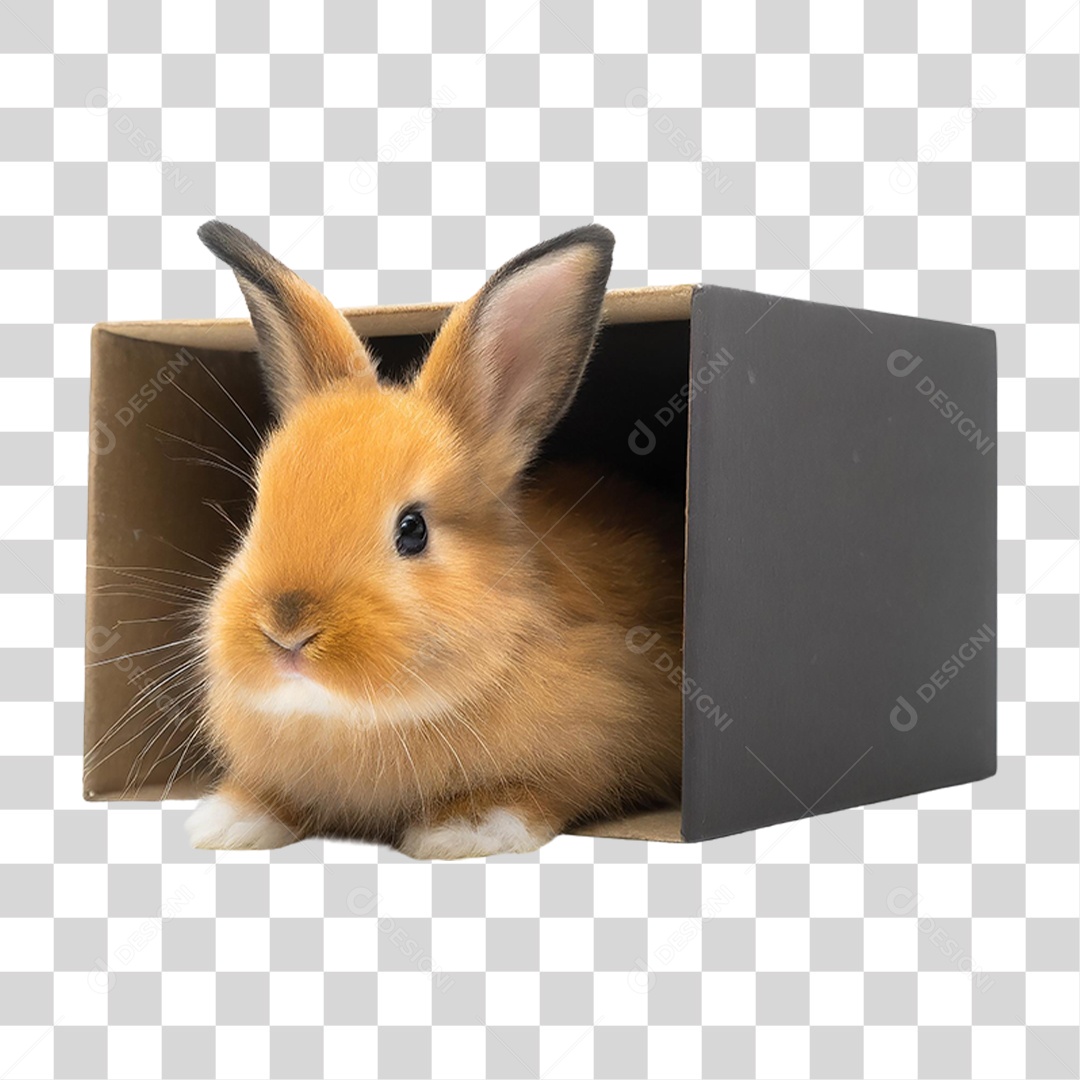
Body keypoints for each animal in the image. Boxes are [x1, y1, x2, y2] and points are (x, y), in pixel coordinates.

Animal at [184, 220, 684, 859]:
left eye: (413, 529)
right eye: (255, 512)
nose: (286, 631)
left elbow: (539, 791)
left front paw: (463, 831)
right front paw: (226, 823)